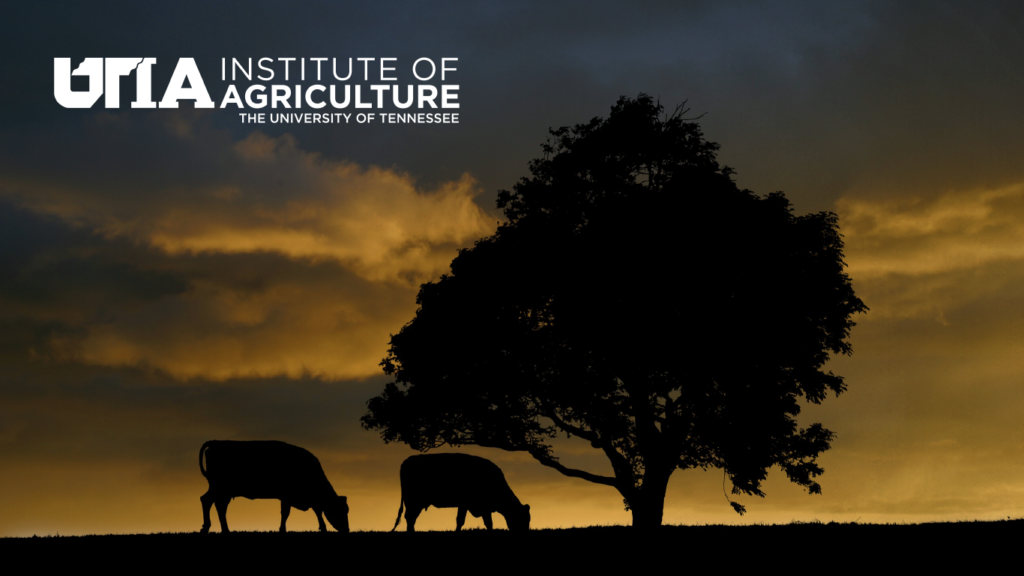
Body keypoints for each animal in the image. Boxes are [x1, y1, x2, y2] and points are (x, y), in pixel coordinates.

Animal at [197, 438, 350, 532]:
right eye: (340, 510)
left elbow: (317, 510)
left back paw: (224, 529)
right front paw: (282, 529)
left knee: (217, 505)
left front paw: (322, 528)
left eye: (347, 510)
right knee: (208, 501)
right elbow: (286, 513)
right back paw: (210, 527)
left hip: (224, 491)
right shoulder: (287, 496)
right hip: (219, 488)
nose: (347, 530)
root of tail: (215, 443)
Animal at [391, 453, 532, 528]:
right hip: (414, 501)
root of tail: (407, 461)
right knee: (410, 518)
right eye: (523, 518)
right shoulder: (466, 503)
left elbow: (488, 523)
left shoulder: (483, 507)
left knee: (411, 518)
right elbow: (461, 520)